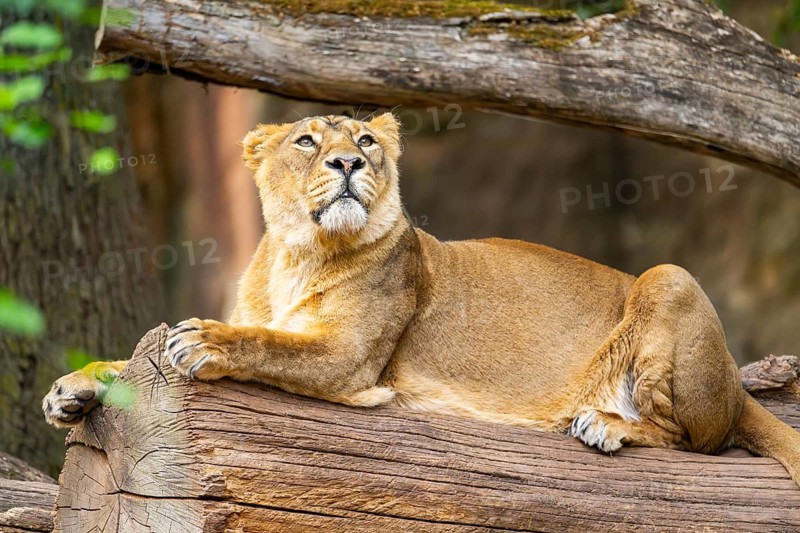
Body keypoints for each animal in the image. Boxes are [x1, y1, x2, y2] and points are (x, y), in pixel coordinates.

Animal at [43, 113, 800, 487]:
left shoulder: (348, 360)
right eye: (308, 140)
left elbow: (266, 342)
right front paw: (73, 388)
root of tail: (737, 381)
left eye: (365, 140)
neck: (298, 252)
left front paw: (202, 339)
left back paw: (606, 423)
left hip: (669, 277)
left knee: (698, 441)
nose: (348, 163)